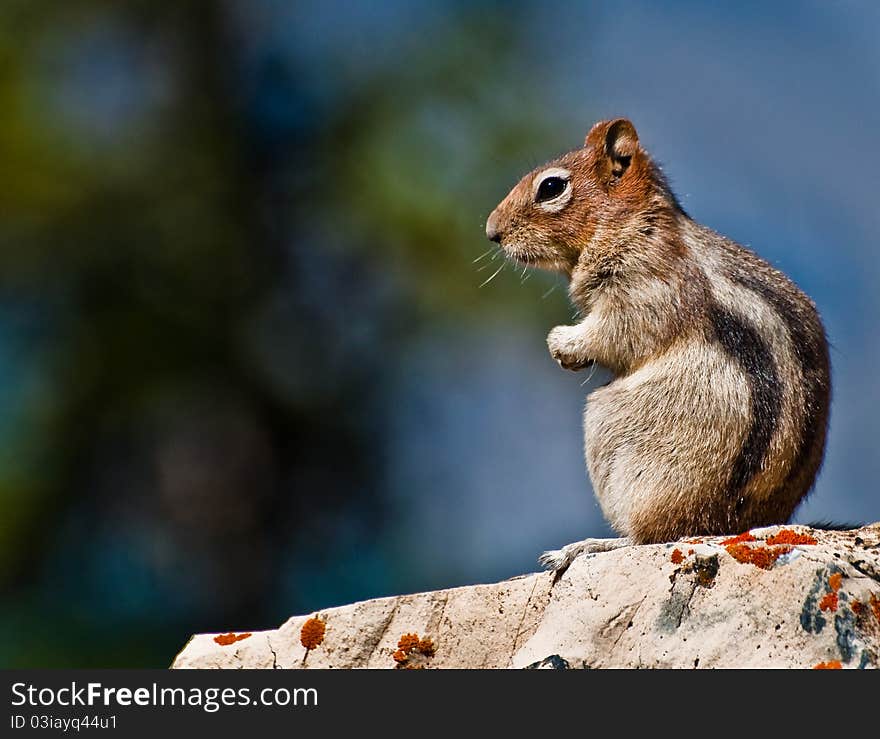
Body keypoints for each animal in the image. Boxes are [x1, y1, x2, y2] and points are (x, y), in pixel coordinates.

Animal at [484, 120, 828, 572]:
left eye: (551, 187)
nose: (491, 232)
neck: (633, 223)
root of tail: (728, 524)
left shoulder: (644, 289)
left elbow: (614, 332)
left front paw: (562, 343)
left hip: (621, 439)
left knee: (647, 536)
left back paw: (586, 546)